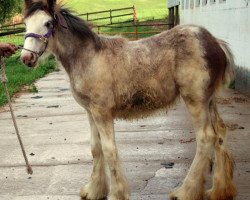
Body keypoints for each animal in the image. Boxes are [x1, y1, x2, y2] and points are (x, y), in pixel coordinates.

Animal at [21, 0, 236, 200]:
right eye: (26, 23)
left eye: (48, 23)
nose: (26, 58)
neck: (87, 57)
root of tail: (215, 42)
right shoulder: (90, 112)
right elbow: (95, 148)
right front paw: (94, 190)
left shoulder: (102, 112)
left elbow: (109, 150)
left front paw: (117, 194)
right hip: (209, 101)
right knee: (220, 133)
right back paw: (220, 190)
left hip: (195, 101)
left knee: (206, 138)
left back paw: (186, 191)